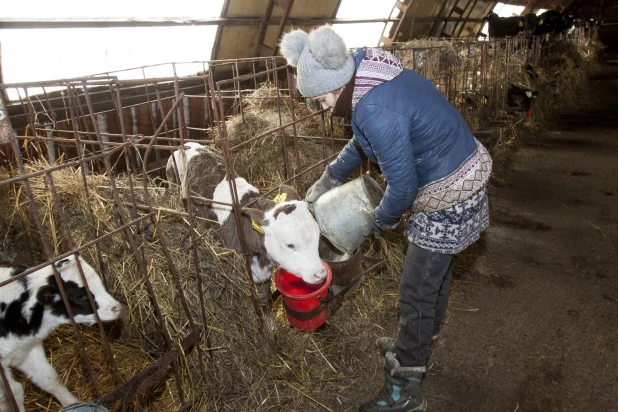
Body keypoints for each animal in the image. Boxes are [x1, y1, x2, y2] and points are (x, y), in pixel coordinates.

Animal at [0, 256, 121, 410]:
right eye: (79, 296)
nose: (117, 308)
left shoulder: (28, 348)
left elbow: (50, 378)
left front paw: (72, 403)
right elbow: (14, 394)